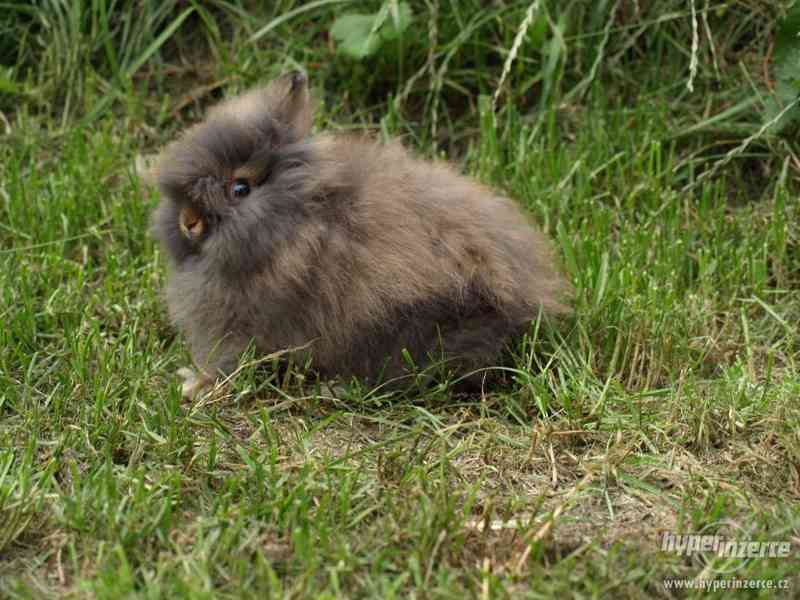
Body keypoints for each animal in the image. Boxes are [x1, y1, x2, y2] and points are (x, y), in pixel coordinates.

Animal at [150, 71, 572, 398]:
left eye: (240, 189)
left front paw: (195, 385)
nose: (188, 221)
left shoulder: (243, 323)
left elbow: (228, 362)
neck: (295, 220)